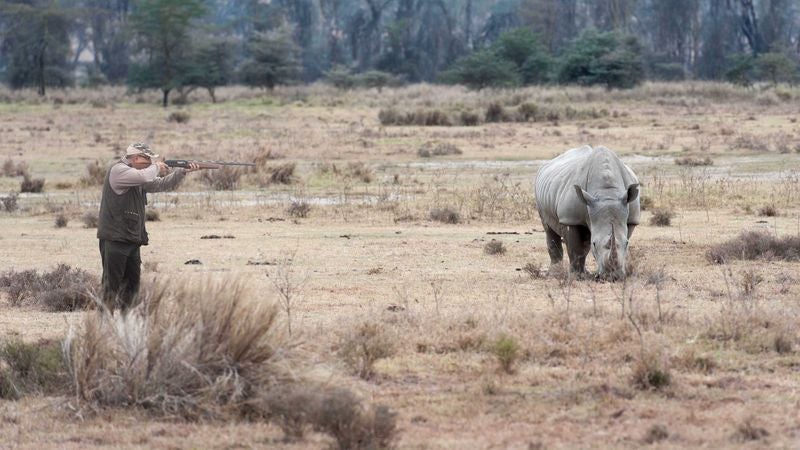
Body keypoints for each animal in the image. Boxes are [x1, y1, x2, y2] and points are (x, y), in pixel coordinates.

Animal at [536, 145, 640, 278]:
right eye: (594, 243)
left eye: (627, 243)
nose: (613, 277)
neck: (607, 194)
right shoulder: (570, 219)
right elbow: (575, 249)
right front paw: (576, 276)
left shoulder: (631, 219)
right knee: (548, 229)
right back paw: (555, 274)